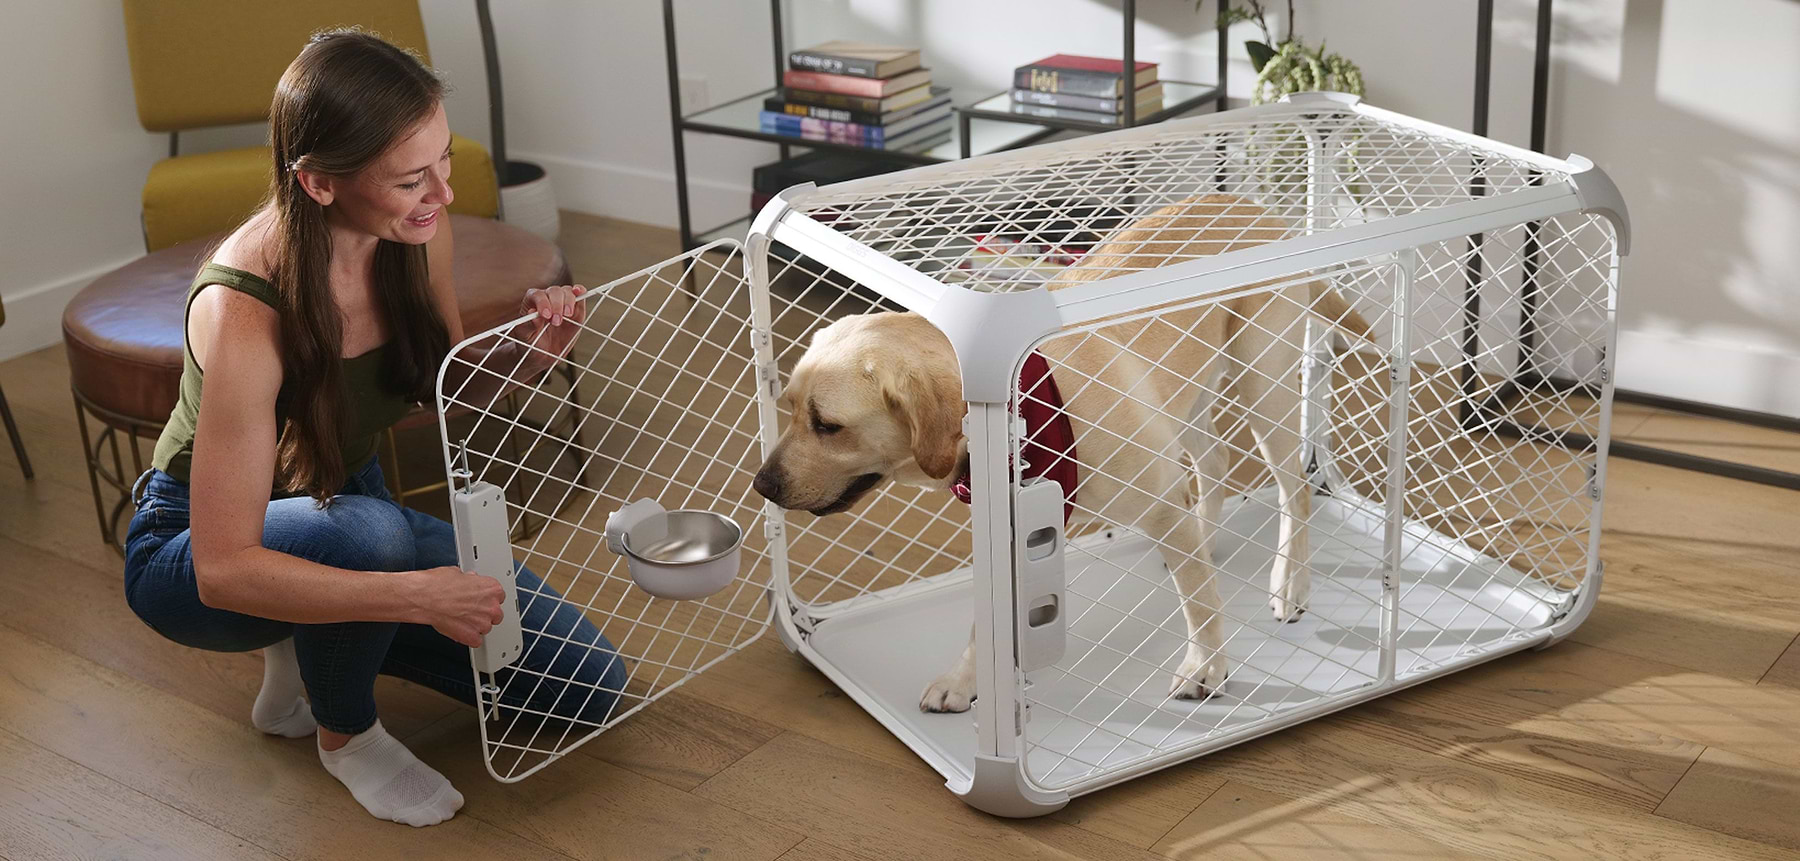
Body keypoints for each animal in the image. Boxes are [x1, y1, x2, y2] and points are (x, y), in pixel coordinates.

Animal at [752, 195, 1368, 713]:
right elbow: (987, 624)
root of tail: (1258, 207)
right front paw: (966, 681)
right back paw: (1204, 538)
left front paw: (1206, 667)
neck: (1024, 412)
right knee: (1212, 469)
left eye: (828, 425)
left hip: (1262, 384)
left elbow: (1199, 603)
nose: (761, 486)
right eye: (788, 408)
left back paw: (1290, 584)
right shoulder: (1005, 539)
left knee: (1293, 489)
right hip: (1184, 400)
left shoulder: (1157, 495)